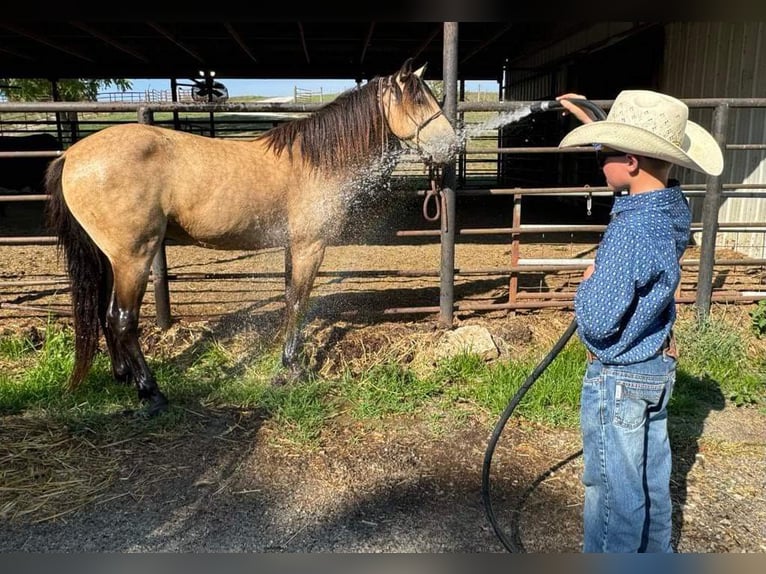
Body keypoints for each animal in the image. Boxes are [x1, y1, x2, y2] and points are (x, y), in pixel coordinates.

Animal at [44, 57, 458, 416]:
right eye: (417, 98)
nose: (453, 146)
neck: (312, 161)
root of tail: (72, 156)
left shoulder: (294, 247)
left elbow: (290, 298)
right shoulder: (310, 247)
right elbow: (299, 303)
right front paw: (291, 368)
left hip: (109, 257)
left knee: (104, 312)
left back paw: (123, 376)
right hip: (134, 257)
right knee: (123, 318)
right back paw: (151, 392)